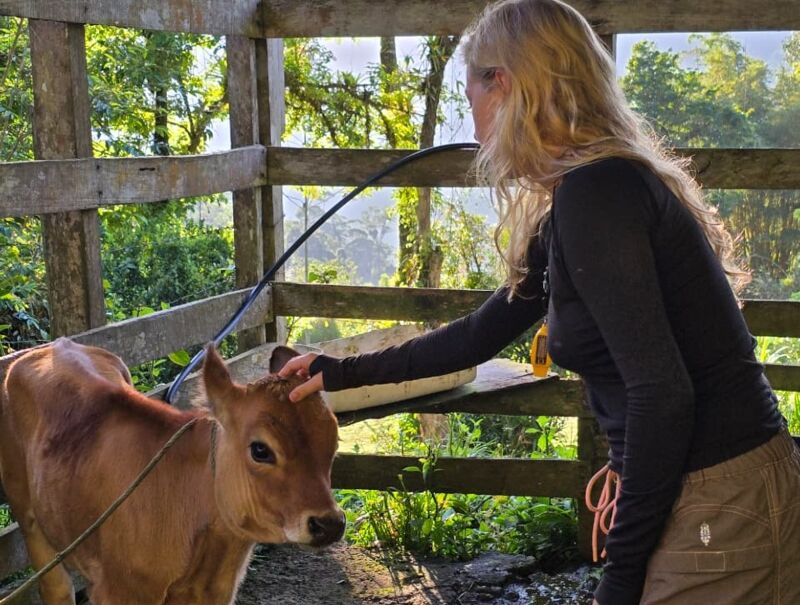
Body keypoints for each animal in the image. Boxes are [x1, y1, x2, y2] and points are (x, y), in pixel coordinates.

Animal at [0, 338, 344, 605]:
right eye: (260, 449)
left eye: (333, 439)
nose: (329, 524)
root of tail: (53, 345)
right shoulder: (119, 592)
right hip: (28, 515)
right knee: (56, 587)